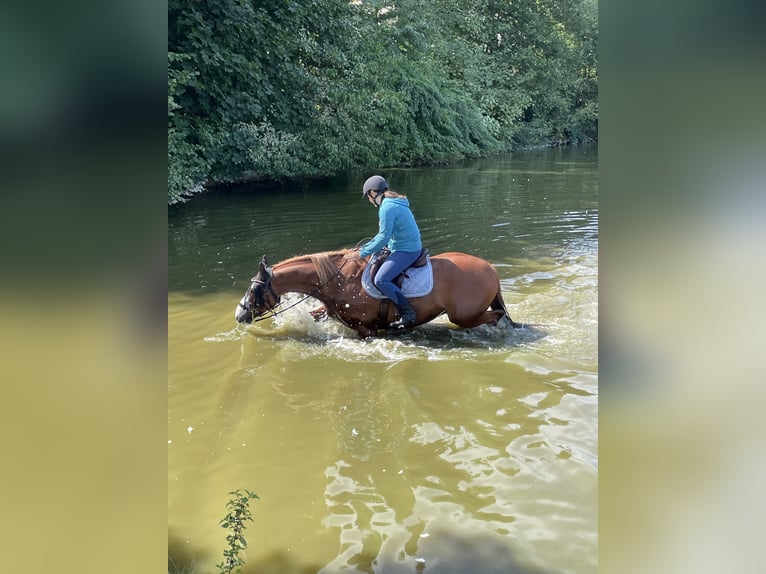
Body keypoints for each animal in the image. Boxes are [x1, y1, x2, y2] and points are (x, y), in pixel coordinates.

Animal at [232, 250, 520, 340]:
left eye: (255, 289)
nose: (239, 314)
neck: (339, 281)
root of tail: (490, 268)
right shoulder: (332, 313)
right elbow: (316, 315)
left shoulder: (366, 330)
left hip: (463, 315)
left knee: (495, 316)